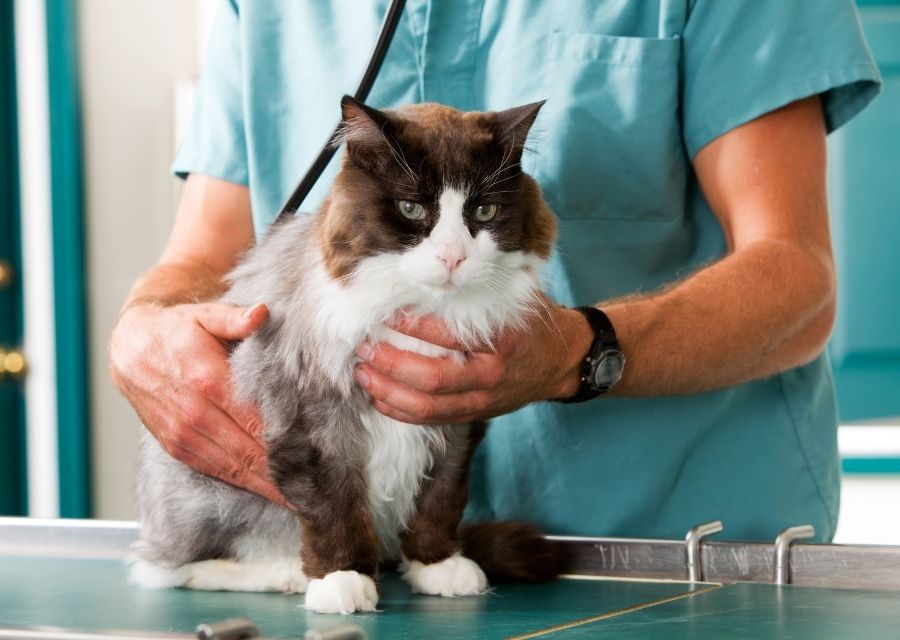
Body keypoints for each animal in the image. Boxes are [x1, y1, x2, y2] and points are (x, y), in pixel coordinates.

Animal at [128, 96, 564, 616]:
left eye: (483, 210)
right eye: (410, 208)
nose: (452, 257)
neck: (419, 308)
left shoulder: (457, 419)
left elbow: (440, 499)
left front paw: (437, 565)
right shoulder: (315, 419)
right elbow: (335, 508)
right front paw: (342, 580)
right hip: (208, 497)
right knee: (169, 569)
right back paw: (283, 574)